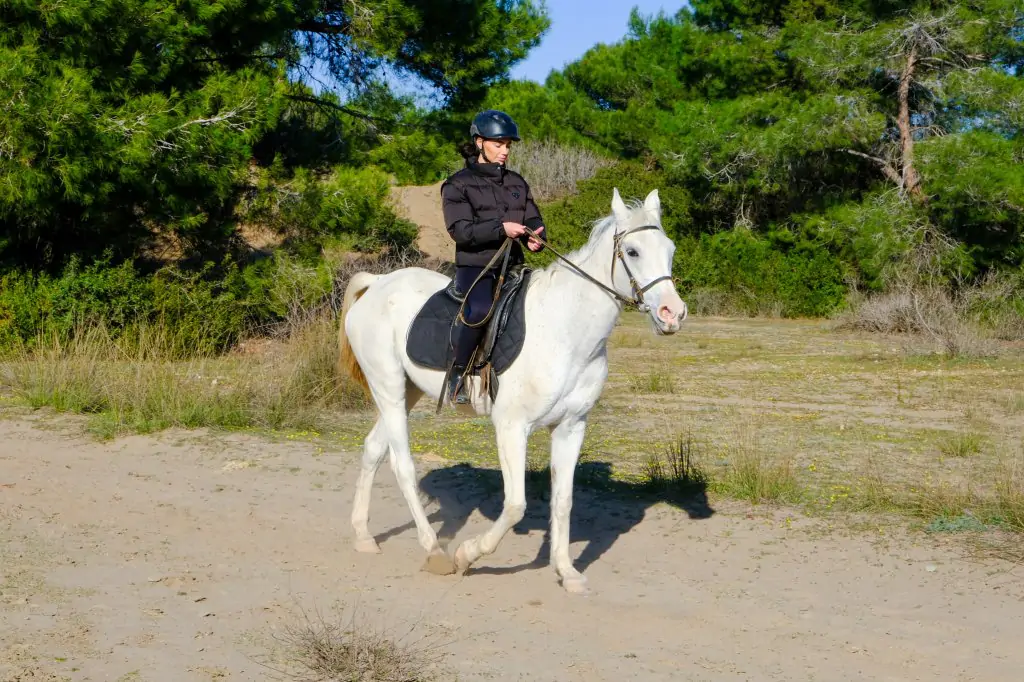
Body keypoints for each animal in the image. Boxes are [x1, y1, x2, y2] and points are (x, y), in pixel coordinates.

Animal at [337, 186, 688, 589]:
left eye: (670, 249)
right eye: (632, 252)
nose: (672, 314)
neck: (565, 330)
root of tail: (377, 284)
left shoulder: (571, 427)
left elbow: (563, 501)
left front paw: (566, 572)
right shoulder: (511, 427)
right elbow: (516, 505)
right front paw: (467, 554)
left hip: (406, 393)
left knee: (373, 449)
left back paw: (363, 536)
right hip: (389, 389)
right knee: (402, 465)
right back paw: (435, 551)